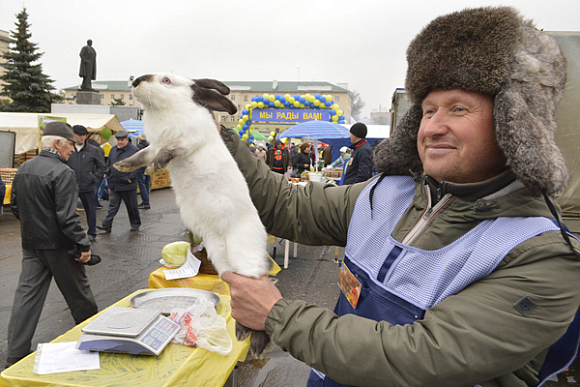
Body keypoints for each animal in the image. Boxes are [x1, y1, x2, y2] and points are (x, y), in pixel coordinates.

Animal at [116, 73, 274, 358]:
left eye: (166, 80)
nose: (135, 83)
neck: (168, 110)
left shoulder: (187, 140)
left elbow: (168, 150)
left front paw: (155, 167)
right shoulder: (152, 144)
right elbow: (141, 155)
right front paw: (121, 165)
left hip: (243, 258)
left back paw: (256, 344)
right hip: (222, 259)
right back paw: (242, 333)